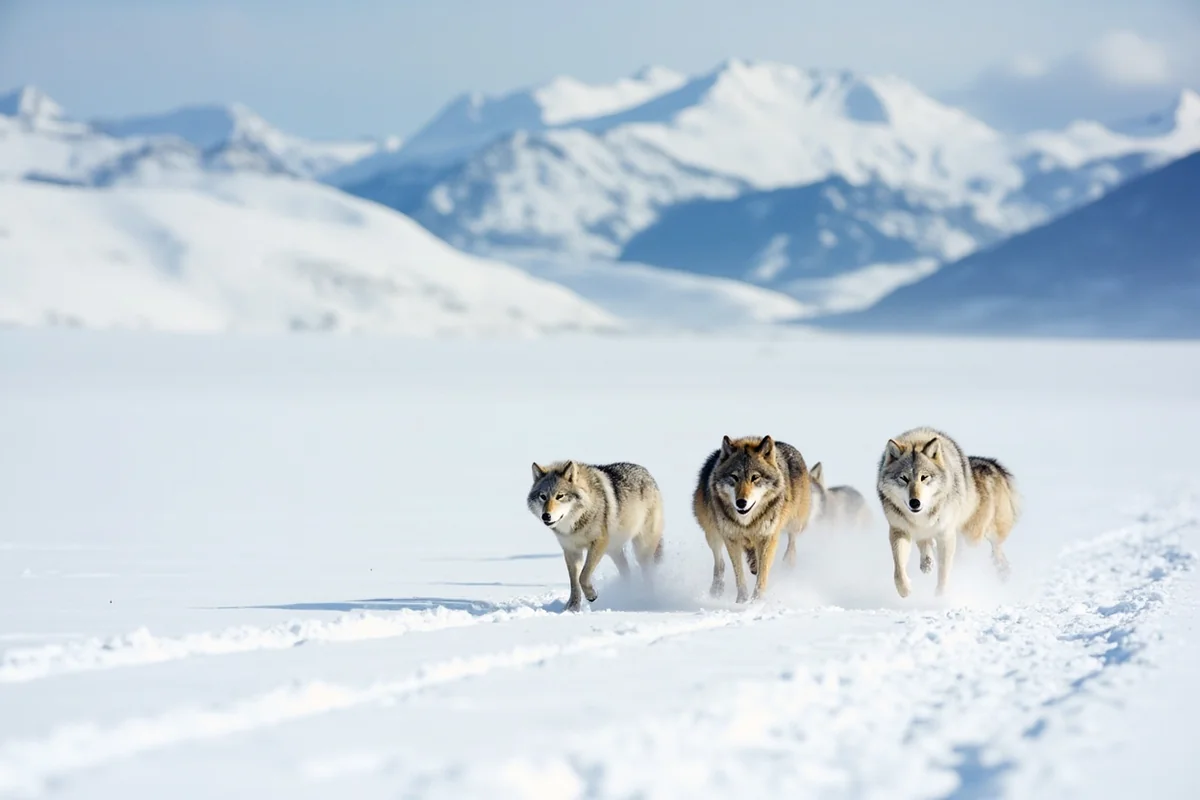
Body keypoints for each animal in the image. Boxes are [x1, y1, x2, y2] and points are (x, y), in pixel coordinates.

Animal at [528, 460, 664, 612]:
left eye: (560, 496)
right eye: (543, 496)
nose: (546, 516)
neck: (576, 523)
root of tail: (646, 472)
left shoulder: (598, 544)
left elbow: (583, 576)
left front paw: (591, 595)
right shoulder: (571, 550)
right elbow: (574, 582)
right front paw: (572, 608)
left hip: (641, 550)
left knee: (647, 571)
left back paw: (646, 597)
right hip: (614, 551)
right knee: (627, 572)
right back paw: (626, 594)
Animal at [694, 435, 813, 603]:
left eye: (755, 477)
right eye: (734, 477)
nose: (741, 502)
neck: (747, 523)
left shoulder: (767, 537)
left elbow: (763, 574)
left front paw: (756, 601)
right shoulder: (731, 538)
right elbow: (739, 575)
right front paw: (742, 601)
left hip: (795, 521)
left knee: (792, 540)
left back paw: (788, 562)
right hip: (712, 532)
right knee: (719, 561)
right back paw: (717, 588)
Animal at [876, 427, 1020, 598]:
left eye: (924, 477)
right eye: (904, 478)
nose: (915, 502)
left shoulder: (945, 533)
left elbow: (944, 569)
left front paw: (941, 595)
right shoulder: (899, 530)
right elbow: (898, 568)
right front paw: (905, 590)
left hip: (973, 534)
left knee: (994, 545)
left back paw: (1003, 571)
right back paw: (927, 562)